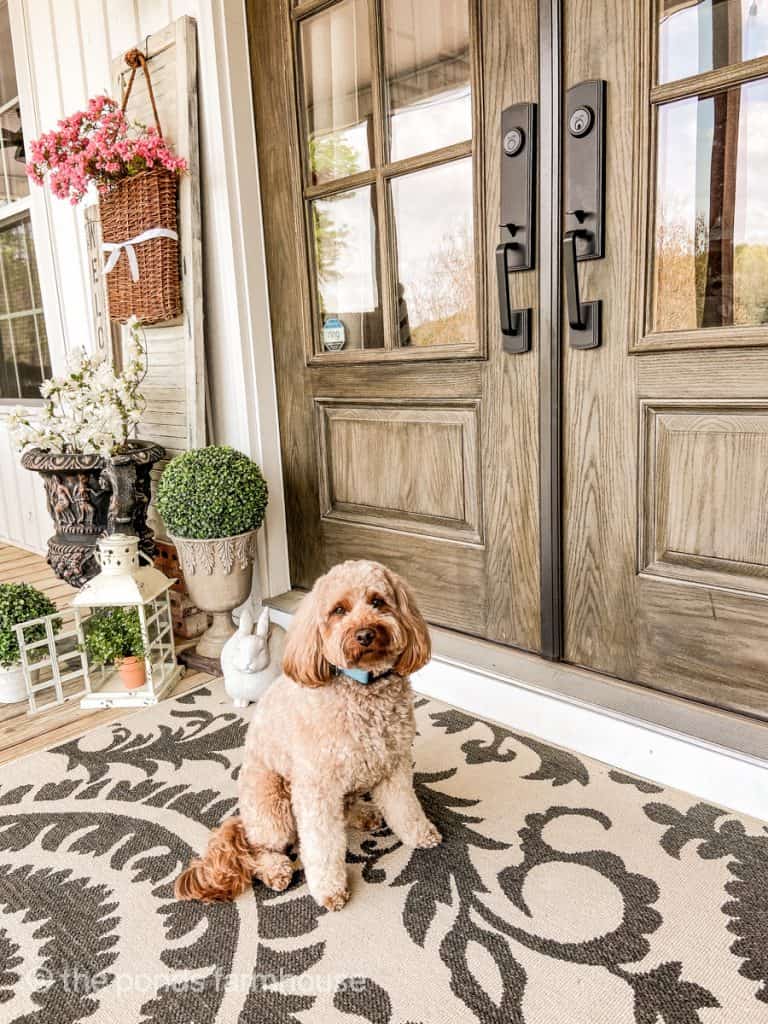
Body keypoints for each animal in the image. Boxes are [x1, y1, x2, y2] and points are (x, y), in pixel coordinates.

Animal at [174, 561, 438, 913]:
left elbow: (405, 807)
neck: (362, 686)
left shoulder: (393, 765)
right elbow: (321, 845)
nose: (365, 634)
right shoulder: (316, 787)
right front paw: (330, 890)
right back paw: (276, 870)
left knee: (343, 809)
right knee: (259, 849)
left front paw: (421, 834)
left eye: (378, 601)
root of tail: (243, 819)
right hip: (272, 801)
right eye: (338, 610)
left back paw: (363, 813)